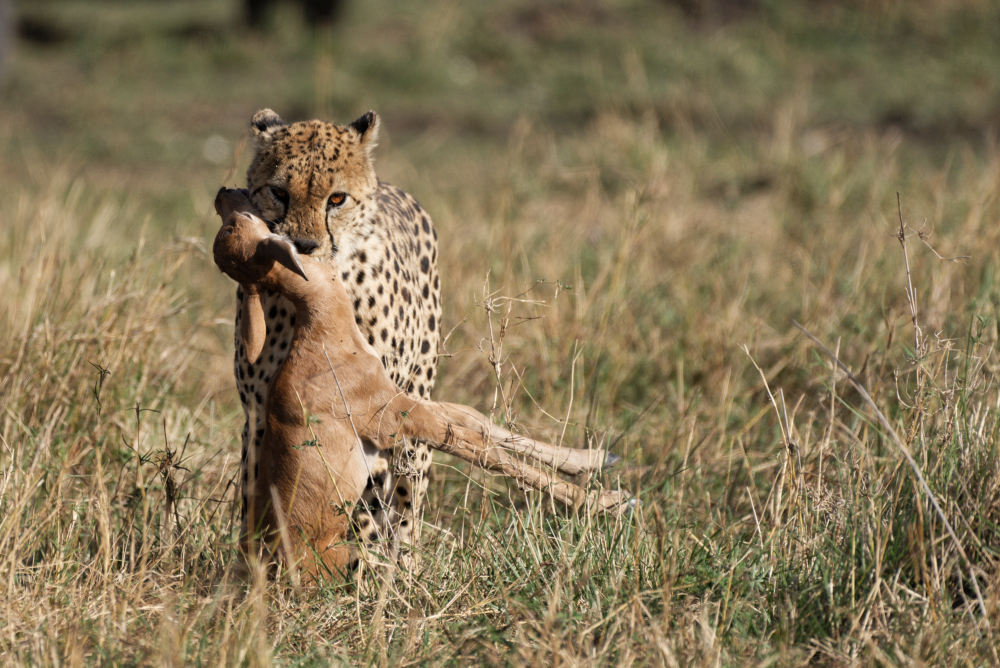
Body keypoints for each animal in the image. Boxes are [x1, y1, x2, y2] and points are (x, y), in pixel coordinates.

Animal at [215, 187, 628, 580]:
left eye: (233, 224)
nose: (222, 193)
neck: (322, 329)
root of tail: (272, 565)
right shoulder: (399, 422)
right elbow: (480, 449)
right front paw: (609, 500)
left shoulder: (405, 401)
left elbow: (476, 419)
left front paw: (596, 458)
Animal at [234, 108, 442, 564]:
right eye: (278, 192)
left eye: (336, 199)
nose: (304, 244)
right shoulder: (259, 415)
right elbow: (257, 500)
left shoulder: (372, 417)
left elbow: (361, 510)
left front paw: (356, 575)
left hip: (413, 410)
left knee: (405, 503)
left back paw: (401, 566)